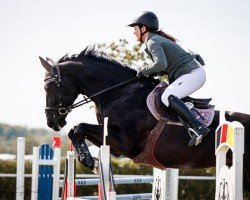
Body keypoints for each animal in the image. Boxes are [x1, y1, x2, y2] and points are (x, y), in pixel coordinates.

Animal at [38, 46, 250, 190]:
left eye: (48, 87)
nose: (52, 121)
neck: (119, 92)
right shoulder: (114, 145)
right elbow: (75, 130)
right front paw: (87, 159)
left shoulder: (122, 141)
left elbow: (79, 127)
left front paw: (88, 160)